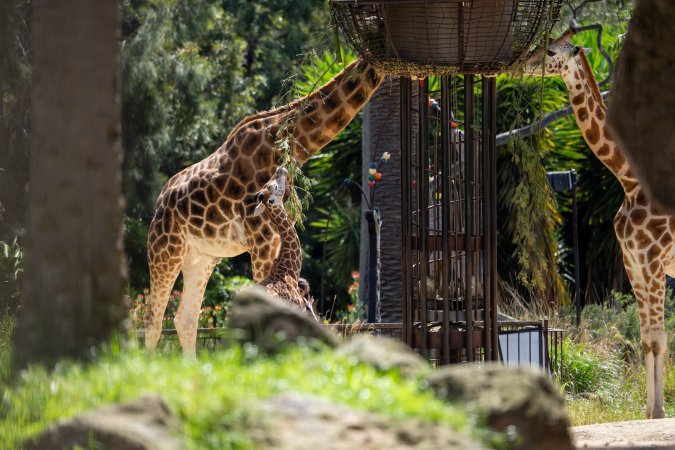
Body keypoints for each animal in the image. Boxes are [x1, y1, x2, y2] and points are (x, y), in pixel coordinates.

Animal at [524, 30, 675, 419]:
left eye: (551, 51)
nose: (525, 65)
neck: (629, 180)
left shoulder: (652, 263)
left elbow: (657, 338)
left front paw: (658, 413)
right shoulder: (633, 263)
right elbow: (647, 339)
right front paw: (650, 410)